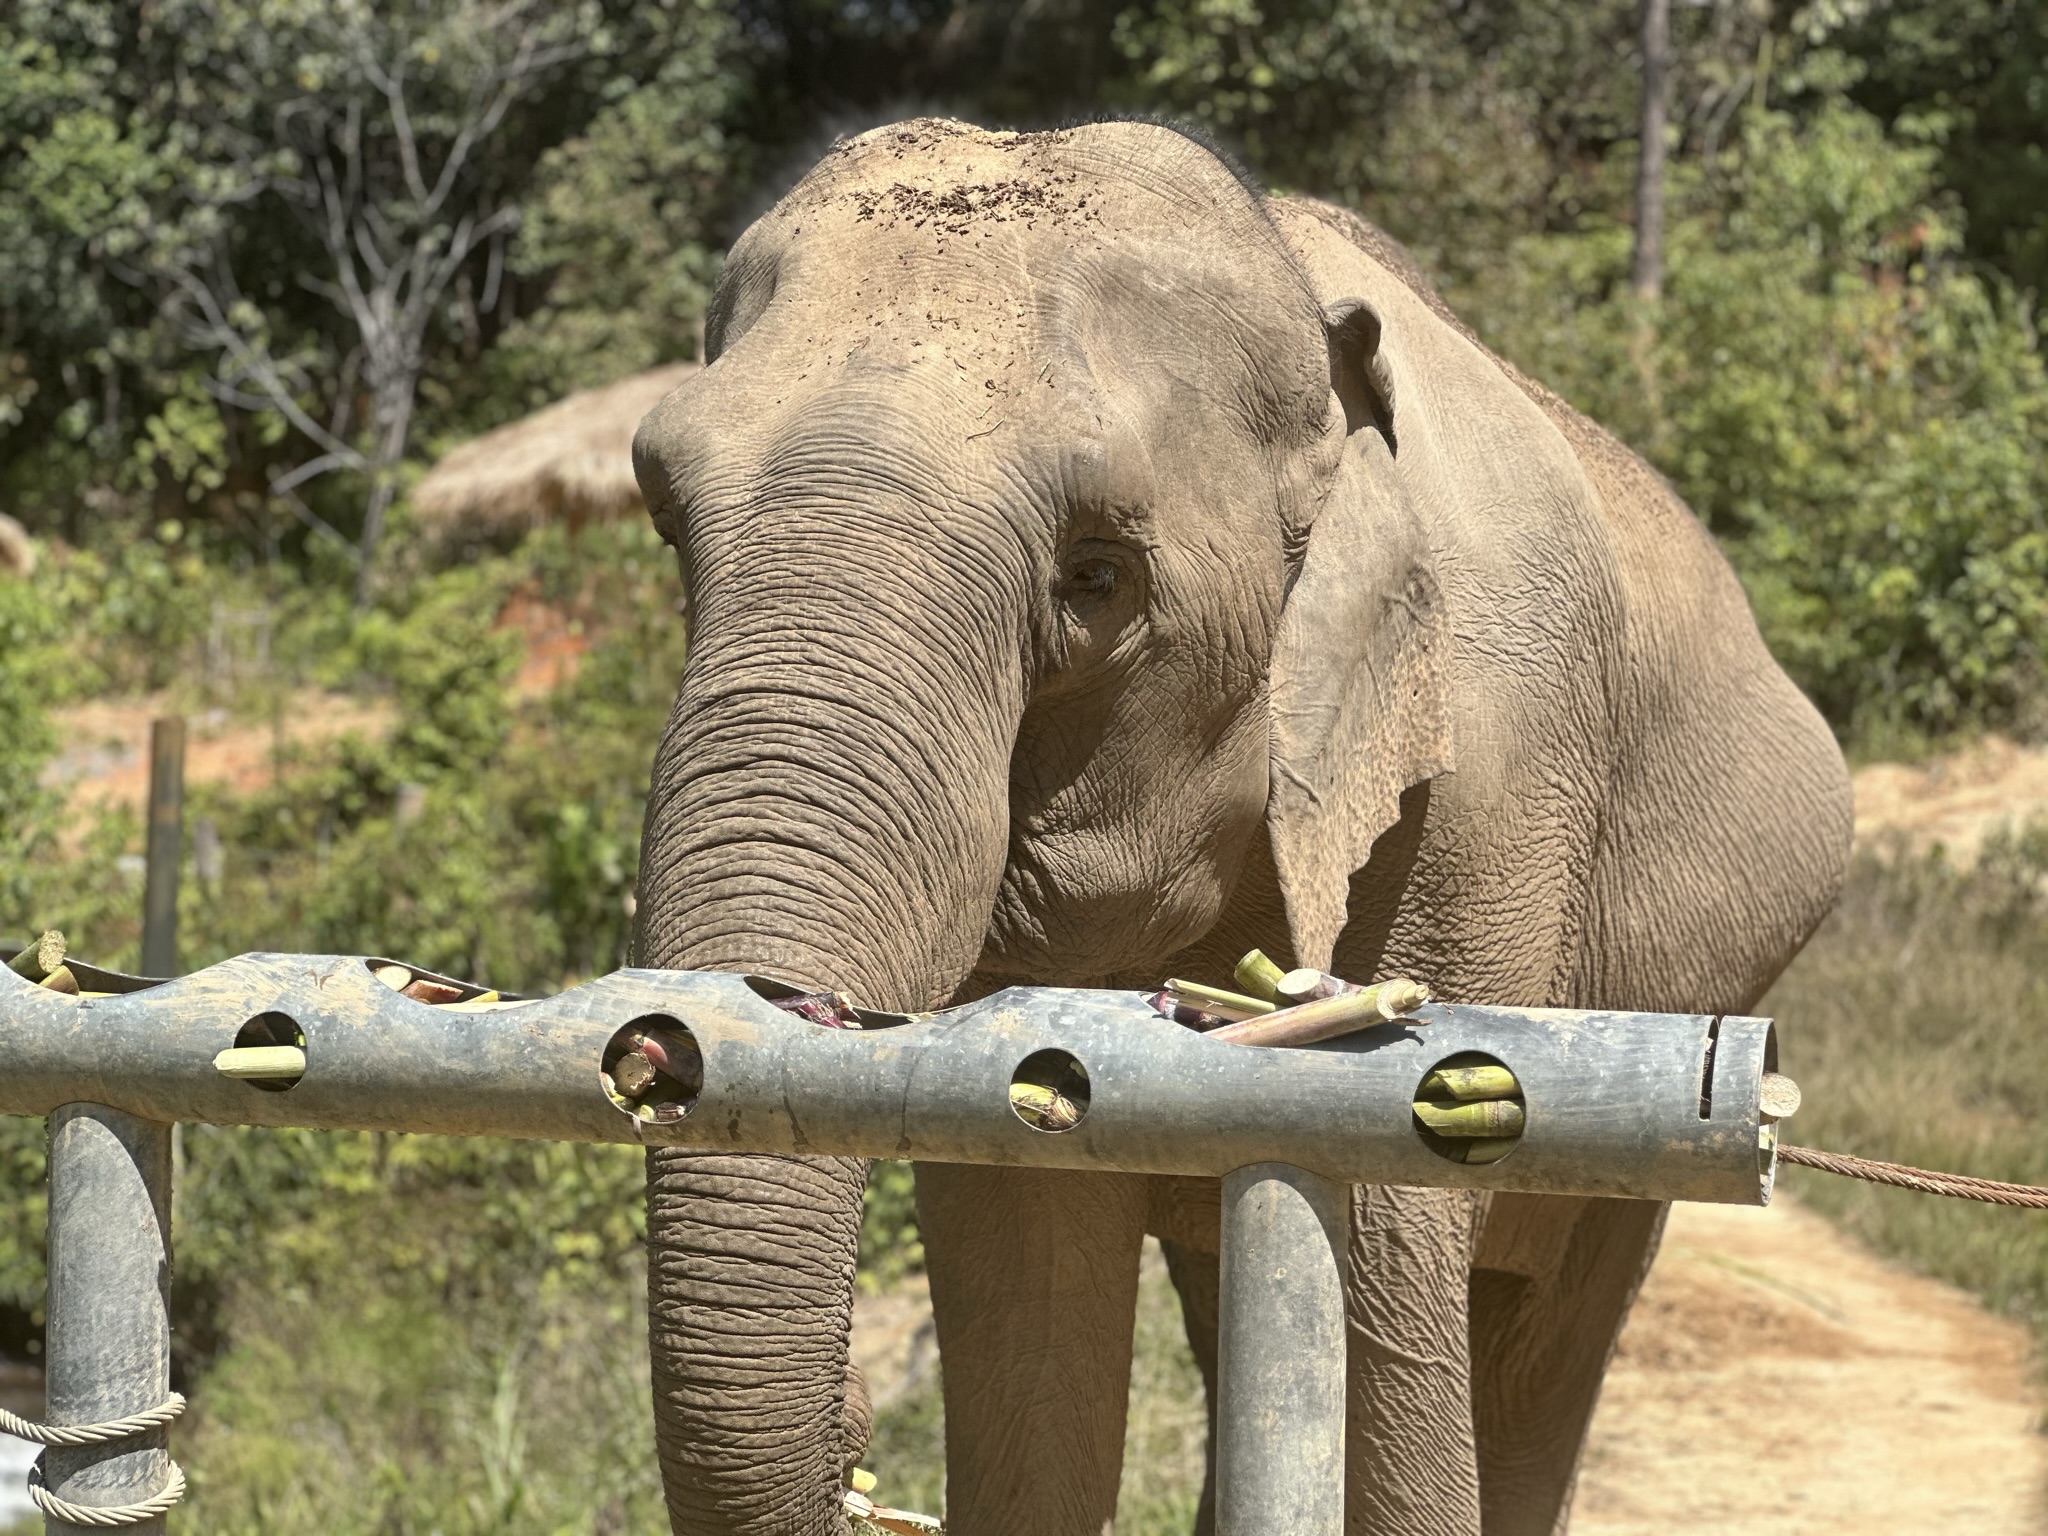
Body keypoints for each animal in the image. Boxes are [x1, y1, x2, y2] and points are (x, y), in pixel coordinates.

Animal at [628, 117, 1853, 1536]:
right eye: (666, 518)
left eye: (1095, 575)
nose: (858, 1435)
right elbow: (1021, 1234)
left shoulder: (1493, 773)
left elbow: (1390, 1192)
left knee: (1547, 1334)